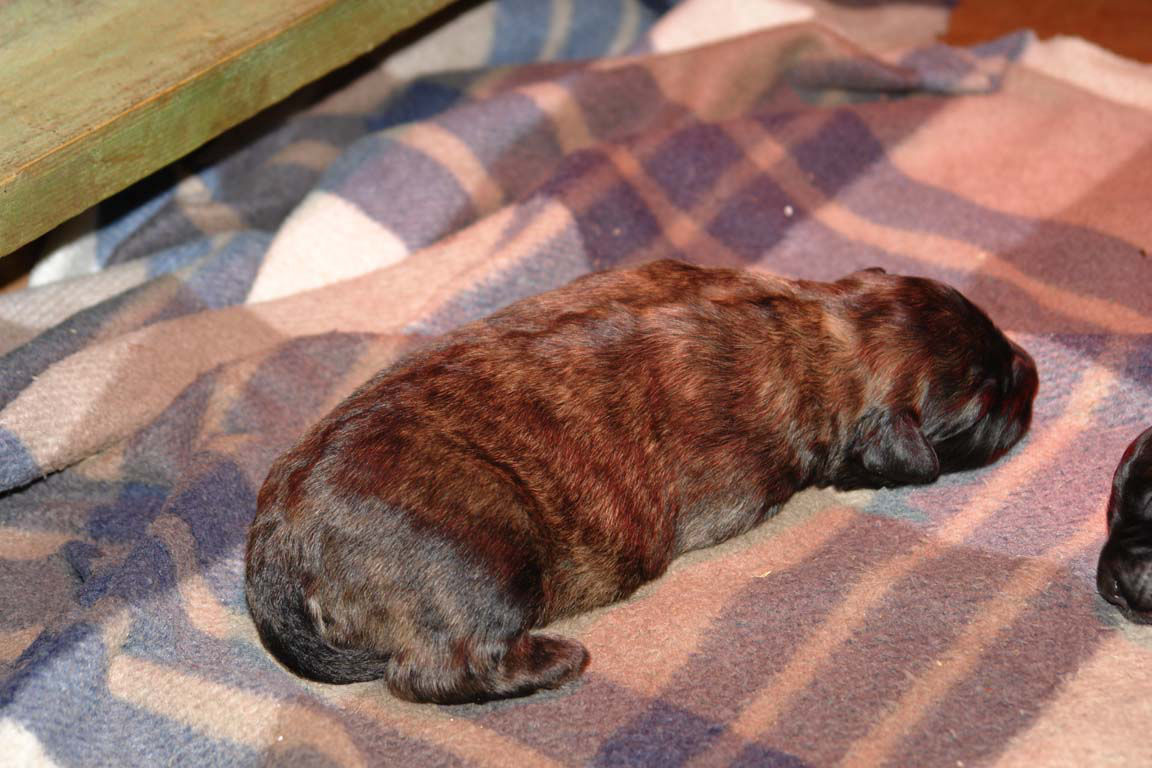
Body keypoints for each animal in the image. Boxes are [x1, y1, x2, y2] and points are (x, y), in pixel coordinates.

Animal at [245, 259, 1038, 704]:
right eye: (986, 403)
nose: (1031, 372)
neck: (820, 327)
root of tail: (277, 541)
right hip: (481, 559)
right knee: (438, 670)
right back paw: (557, 661)